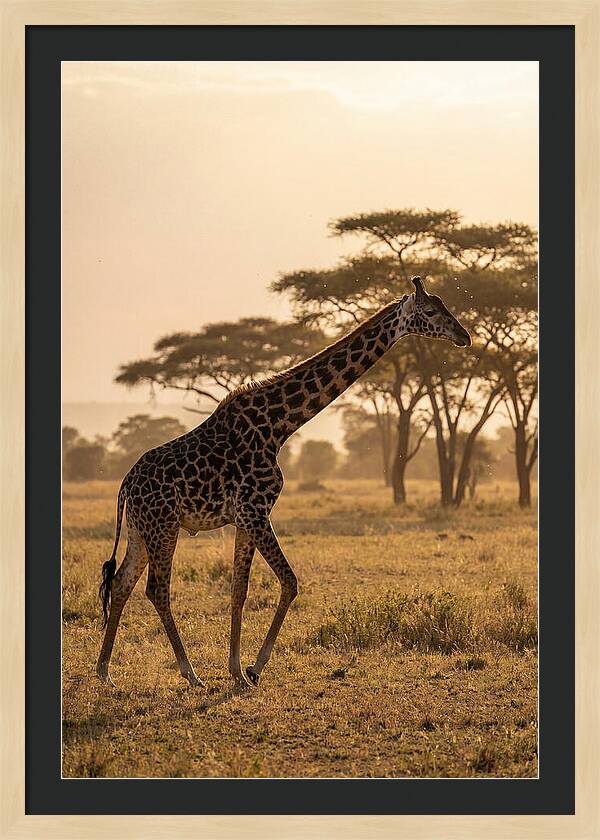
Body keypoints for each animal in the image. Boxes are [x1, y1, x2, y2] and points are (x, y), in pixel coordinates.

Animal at [96, 276, 471, 689]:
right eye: (431, 311)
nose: (464, 336)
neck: (279, 426)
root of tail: (126, 485)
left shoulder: (245, 518)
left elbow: (239, 589)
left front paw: (236, 670)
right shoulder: (255, 510)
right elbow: (290, 582)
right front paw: (254, 668)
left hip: (141, 529)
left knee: (121, 582)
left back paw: (105, 672)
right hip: (164, 526)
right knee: (156, 589)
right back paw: (190, 673)